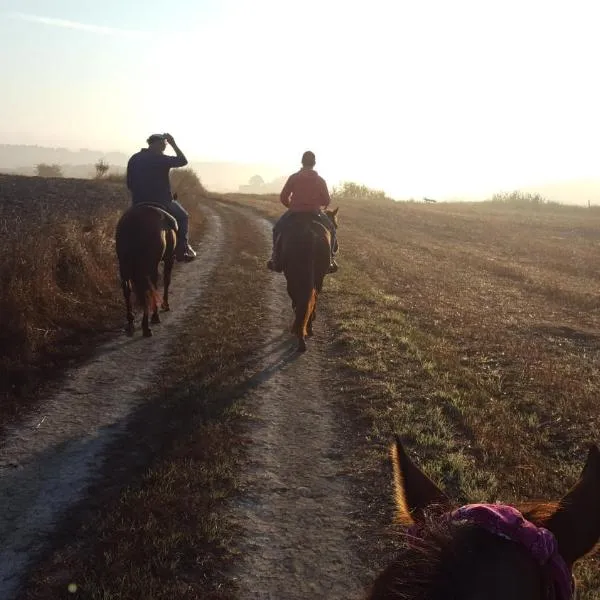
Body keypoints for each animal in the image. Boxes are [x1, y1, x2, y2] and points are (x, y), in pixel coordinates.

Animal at [114, 204, 176, 338]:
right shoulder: (170, 258)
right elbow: (166, 281)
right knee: (148, 289)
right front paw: (165, 305)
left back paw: (131, 323)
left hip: (124, 265)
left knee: (127, 290)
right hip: (149, 266)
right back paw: (149, 324)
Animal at [280, 209, 338, 354]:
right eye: (336, 226)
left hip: (293, 278)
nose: (337, 248)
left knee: (300, 301)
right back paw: (306, 330)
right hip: (315, 278)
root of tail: (309, 234)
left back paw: (301, 333)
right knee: (310, 299)